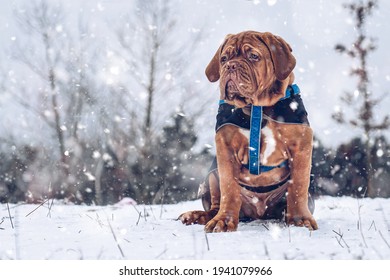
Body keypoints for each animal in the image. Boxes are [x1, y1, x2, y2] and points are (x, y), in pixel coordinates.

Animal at [179, 30, 316, 232]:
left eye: (253, 56)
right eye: (224, 59)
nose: (231, 66)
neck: (257, 108)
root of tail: (258, 213)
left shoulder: (301, 145)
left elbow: (298, 186)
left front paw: (300, 220)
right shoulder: (225, 147)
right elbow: (229, 189)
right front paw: (224, 221)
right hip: (211, 174)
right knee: (215, 205)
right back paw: (198, 215)